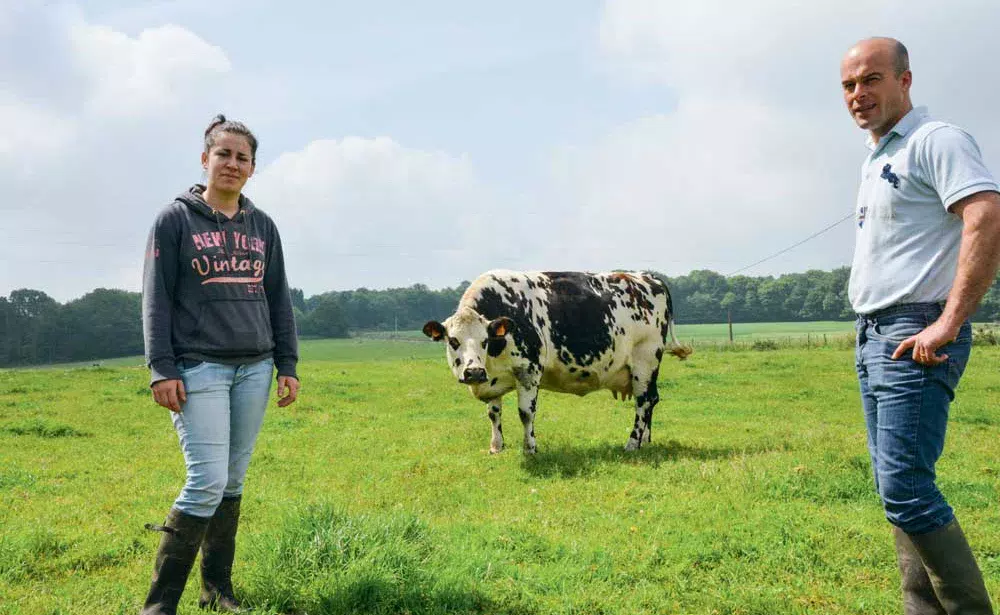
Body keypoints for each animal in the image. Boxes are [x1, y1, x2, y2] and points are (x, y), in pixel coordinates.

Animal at [418, 270, 692, 452]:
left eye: (485, 340)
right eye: (453, 341)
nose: (473, 372)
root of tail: (647, 276)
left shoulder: (528, 370)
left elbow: (526, 413)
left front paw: (530, 448)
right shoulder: (491, 378)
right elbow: (494, 413)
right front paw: (496, 447)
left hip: (645, 361)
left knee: (643, 402)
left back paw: (632, 444)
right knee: (652, 400)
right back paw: (645, 441)